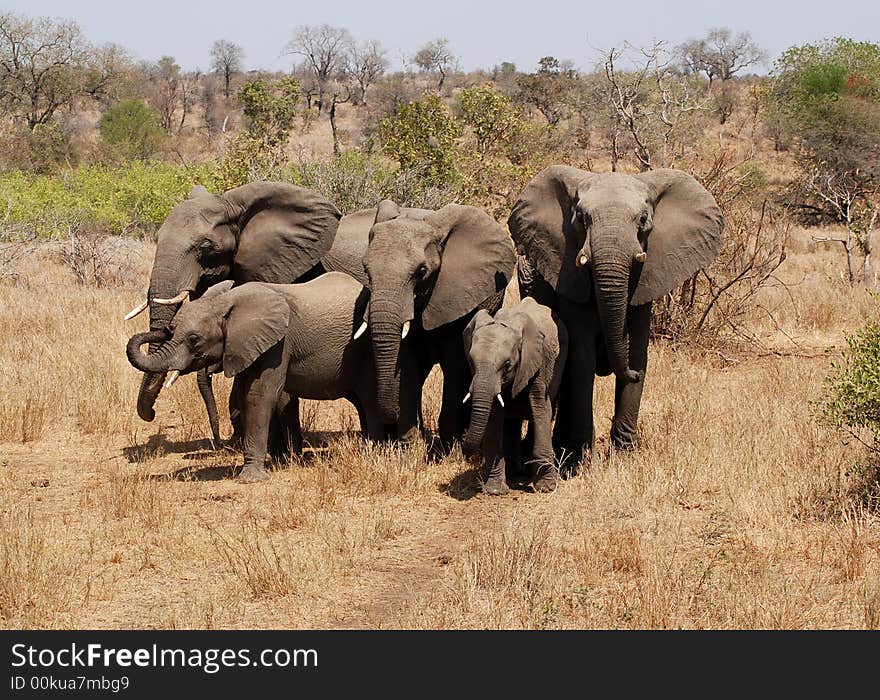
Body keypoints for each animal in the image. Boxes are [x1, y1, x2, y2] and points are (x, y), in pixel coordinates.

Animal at [125, 272, 408, 482]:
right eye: (173, 331)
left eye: (195, 339)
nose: (164, 329)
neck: (226, 302)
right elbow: (248, 395)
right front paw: (282, 461)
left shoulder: (279, 343)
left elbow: (259, 395)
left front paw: (250, 478)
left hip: (366, 353)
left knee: (369, 399)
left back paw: (374, 452)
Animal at [356, 200, 516, 446]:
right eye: (366, 270)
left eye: (421, 271)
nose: (391, 416)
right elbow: (407, 361)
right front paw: (410, 443)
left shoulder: (457, 296)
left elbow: (455, 362)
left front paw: (450, 445)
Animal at [464, 298, 568, 494]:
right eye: (471, 362)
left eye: (507, 364)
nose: (465, 451)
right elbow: (494, 415)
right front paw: (495, 491)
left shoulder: (538, 363)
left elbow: (540, 409)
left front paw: (546, 488)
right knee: (512, 421)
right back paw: (513, 472)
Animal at [508, 166, 720, 468]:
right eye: (581, 218)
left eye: (643, 219)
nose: (630, 374)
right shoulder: (568, 276)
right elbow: (582, 358)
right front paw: (581, 459)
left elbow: (638, 352)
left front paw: (624, 456)